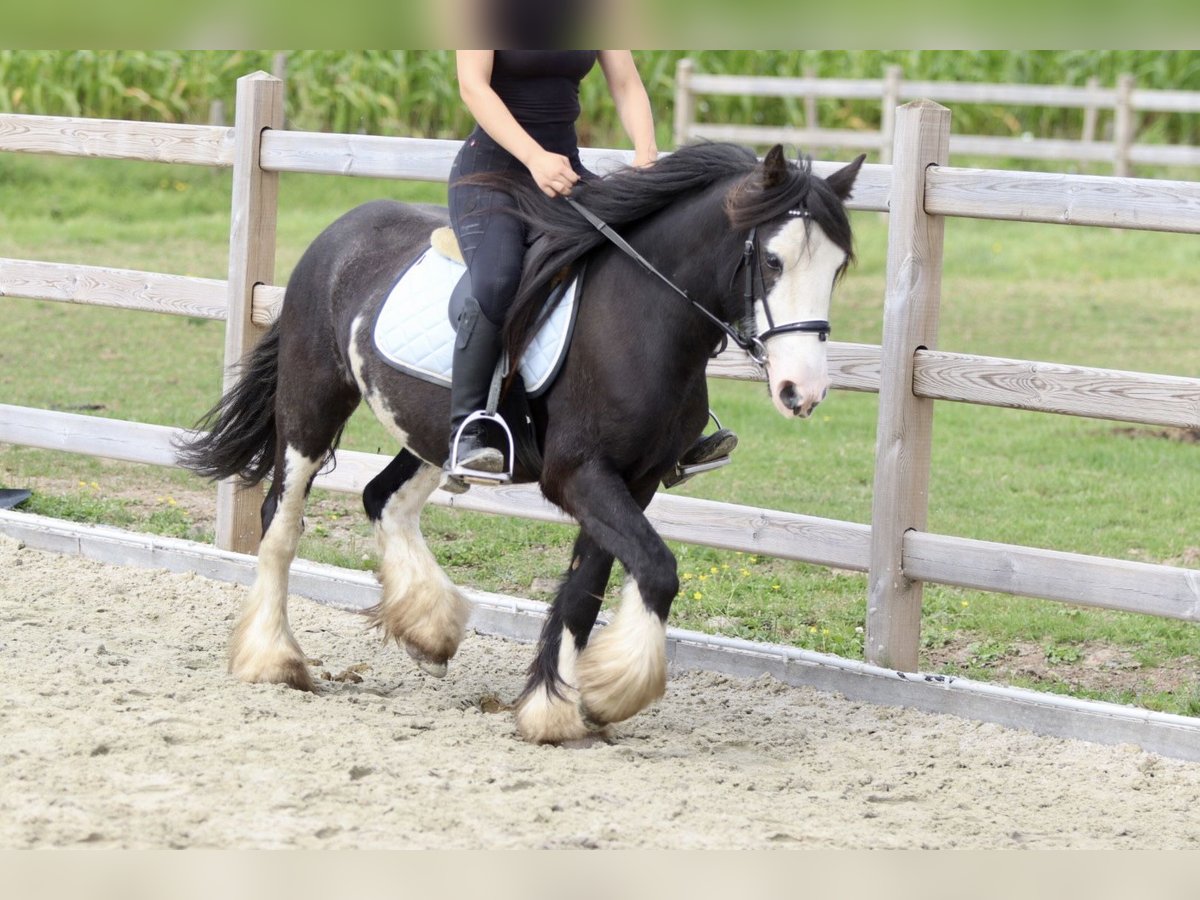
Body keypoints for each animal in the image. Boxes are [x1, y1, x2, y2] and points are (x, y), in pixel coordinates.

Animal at [177, 142, 864, 748]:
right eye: (772, 261)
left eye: (836, 267)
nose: (802, 391)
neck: (642, 317)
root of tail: (340, 231)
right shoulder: (580, 474)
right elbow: (657, 570)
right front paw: (611, 692)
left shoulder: (633, 481)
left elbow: (587, 589)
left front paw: (553, 711)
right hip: (312, 405)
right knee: (281, 521)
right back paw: (273, 659)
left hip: (432, 433)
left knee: (382, 498)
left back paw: (429, 630)